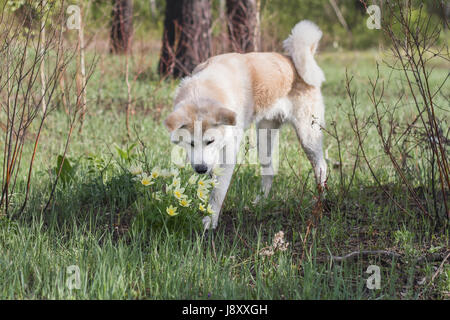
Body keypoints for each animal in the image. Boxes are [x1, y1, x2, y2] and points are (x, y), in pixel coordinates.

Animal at [165, 20, 326, 230]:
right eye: (190, 143)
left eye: (210, 141)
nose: (200, 169)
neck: (205, 90)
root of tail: (292, 59)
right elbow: (213, 184)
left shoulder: (228, 150)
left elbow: (218, 191)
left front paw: (210, 220)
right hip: (264, 140)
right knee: (269, 173)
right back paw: (261, 202)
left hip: (308, 137)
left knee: (321, 168)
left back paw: (320, 203)